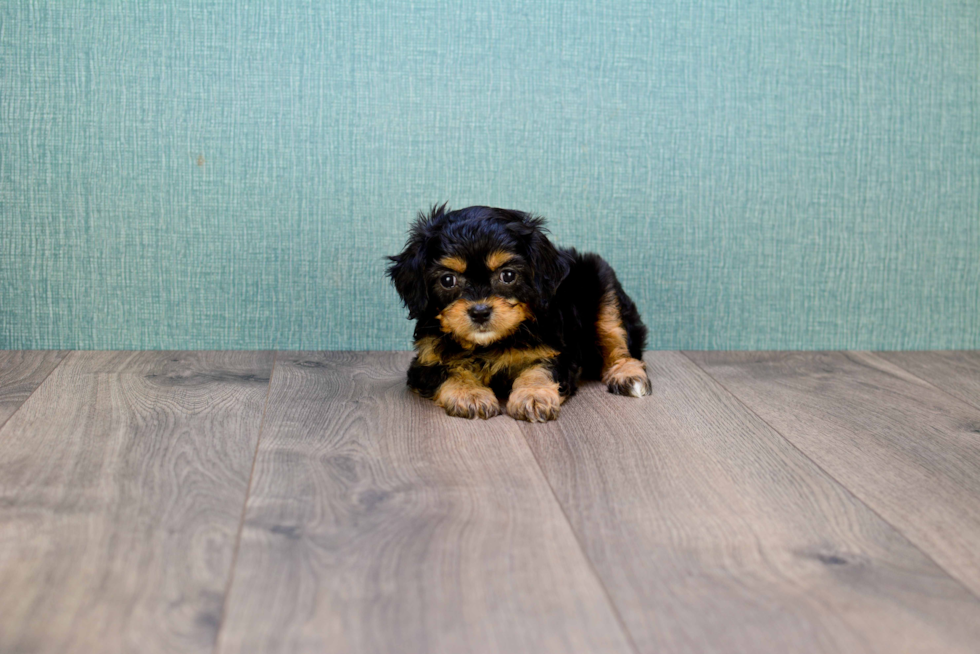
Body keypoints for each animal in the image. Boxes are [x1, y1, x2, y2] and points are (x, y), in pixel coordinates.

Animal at [384, 202, 652, 422]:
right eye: (447, 280)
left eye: (508, 275)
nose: (479, 312)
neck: (489, 343)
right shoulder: (425, 361)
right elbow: (448, 371)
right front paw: (471, 395)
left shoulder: (557, 352)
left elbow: (539, 369)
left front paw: (533, 396)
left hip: (603, 286)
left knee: (616, 340)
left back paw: (628, 376)